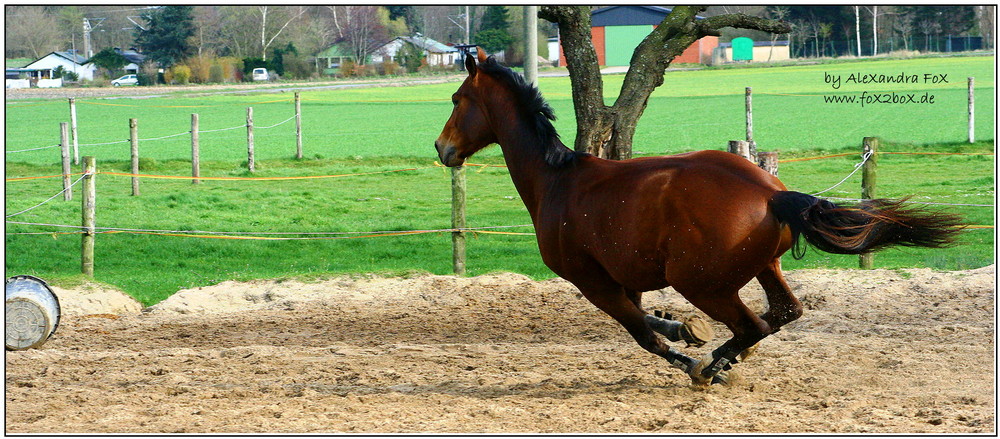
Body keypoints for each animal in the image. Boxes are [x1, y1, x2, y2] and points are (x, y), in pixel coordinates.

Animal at [434, 51, 964, 386]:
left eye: (458, 99)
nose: (442, 148)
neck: (557, 181)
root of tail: (771, 193)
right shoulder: (624, 279)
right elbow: (647, 320)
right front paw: (683, 331)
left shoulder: (593, 281)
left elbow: (642, 333)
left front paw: (688, 354)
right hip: (761, 267)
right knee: (781, 315)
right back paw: (725, 354)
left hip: (701, 282)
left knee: (755, 325)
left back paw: (714, 364)